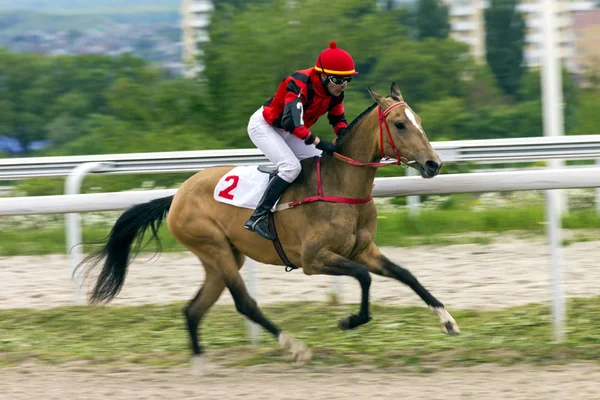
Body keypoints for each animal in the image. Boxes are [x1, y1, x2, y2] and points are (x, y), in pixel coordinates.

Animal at [79, 83, 462, 364]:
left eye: (419, 119)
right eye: (400, 124)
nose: (434, 164)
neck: (340, 185)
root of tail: (176, 195)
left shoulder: (363, 249)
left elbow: (406, 275)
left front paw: (447, 320)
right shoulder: (313, 260)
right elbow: (364, 278)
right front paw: (350, 320)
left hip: (221, 257)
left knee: (193, 310)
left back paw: (201, 362)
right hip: (215, 248)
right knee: (244, 304)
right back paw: (295, 347)